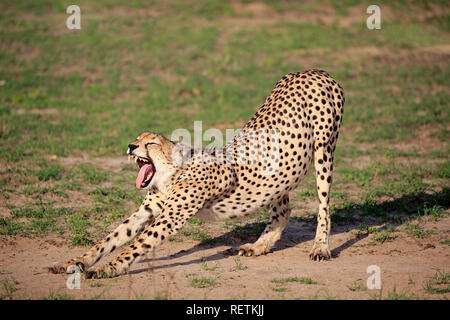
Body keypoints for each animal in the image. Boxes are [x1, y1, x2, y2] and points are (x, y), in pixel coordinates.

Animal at [49, 69, 344, 278]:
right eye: (137, 138)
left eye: (151, 143)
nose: (131, 146)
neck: (171, 174)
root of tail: (313, 70)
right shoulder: (148, 211)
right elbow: (109, 239)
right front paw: (74, 263)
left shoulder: (172, 215)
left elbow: (137, 244)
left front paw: (107, 268)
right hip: (280, 171)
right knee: (282, 211)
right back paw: (258, 246)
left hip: (324, 151)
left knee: (323, 206)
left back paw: (320, 247)